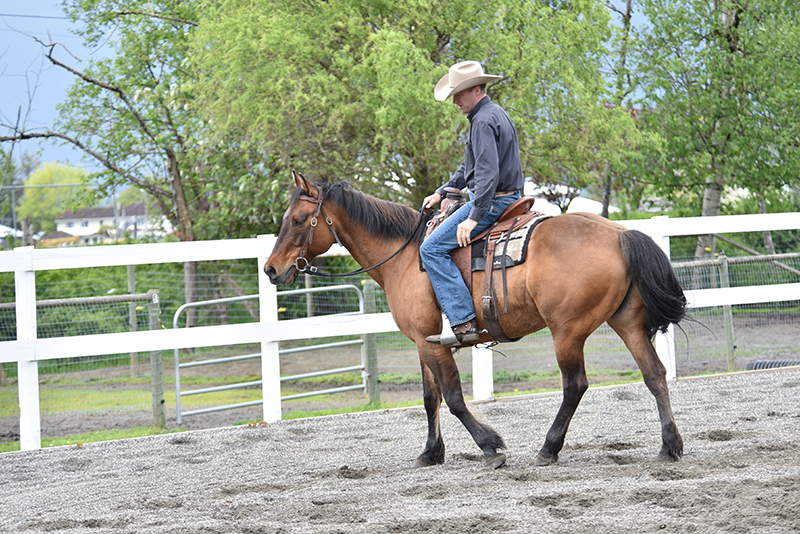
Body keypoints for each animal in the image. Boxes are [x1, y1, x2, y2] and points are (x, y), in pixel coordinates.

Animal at [264, 171, 686, 469]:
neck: (405, 257)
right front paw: (431, 453)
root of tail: (619, 233)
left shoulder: (432, 344)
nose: (270, 269)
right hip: (626, 323)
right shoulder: (424, 341)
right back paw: (670, 446)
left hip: (566, 332)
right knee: (654, 374)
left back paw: (548, 448)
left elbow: (452, 397)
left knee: (575, 385)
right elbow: (429, 398)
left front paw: (491, 446)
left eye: (299, 219)